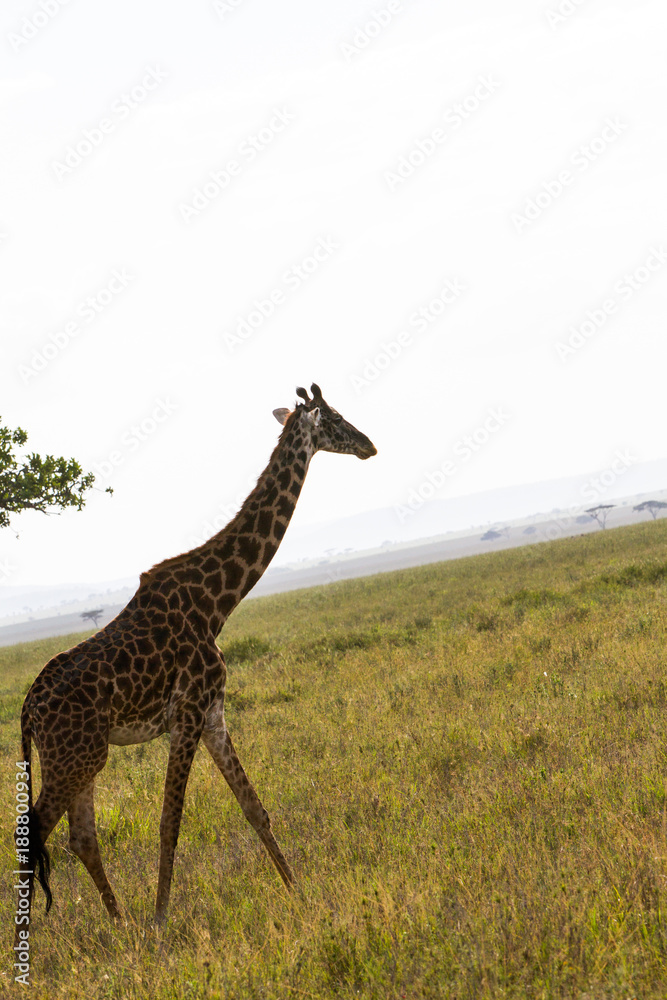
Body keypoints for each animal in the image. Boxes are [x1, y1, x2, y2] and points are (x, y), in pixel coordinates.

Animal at [15, 383, 376, 935]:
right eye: (335, 418)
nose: (369, 446)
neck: (218, 603)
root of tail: (27, 709)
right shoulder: (186, 713)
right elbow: (170, 822)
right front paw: (162, 920)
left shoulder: (213, 714)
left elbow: (255, 808)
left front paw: (298, 892)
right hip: (72, 757)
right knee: (34, 834)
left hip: (83, 756)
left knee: (81, 837)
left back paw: (122, 926)